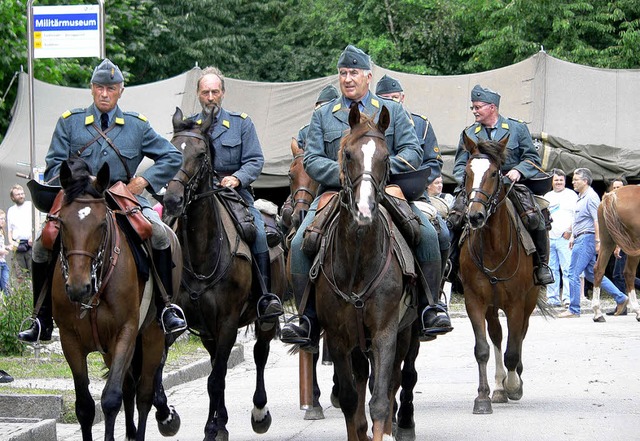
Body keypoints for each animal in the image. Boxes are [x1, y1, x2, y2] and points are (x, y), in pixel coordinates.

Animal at [49, 159, 180, 440]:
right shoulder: (69, 340)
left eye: (101, 224)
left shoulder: (125, 333)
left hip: (152, 336)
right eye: (62, 223)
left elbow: (111, 399)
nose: (78, 287)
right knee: (129, 387)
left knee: (143, 394)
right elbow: (85, 406)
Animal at [164, 106, 286, 440]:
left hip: (265, 318)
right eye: (171, 149)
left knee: (259, 353)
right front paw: (170, 417)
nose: (171, 200)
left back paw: (259, 413)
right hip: (208, 331)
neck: (202, 252)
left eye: (200, 154)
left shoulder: (228, 322)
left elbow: (216, 378)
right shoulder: (187, 321)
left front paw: (211, 427)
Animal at [312, 104, 418, 440]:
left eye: (385, 157)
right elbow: (349, 399)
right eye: (347, 154)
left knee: (397, 379)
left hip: (405, 333)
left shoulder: (385, 332)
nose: (364, 209)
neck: (358, 261)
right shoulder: (337, 337)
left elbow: (381, 399)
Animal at [458, 133, 552, 412]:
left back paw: (512, 380)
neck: (493, 247)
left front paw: (514, 385)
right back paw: (498, 387)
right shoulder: (475, 301)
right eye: (467, 172)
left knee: (519, 336)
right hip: (492, 306)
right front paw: (483, 397)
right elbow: (483, 348)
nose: (475, 216)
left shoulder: (517, 303)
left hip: (528, 302)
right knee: (498, 336)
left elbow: (513, 349)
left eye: (493, 173)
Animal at [592, 184, 640, 322]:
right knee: (629, 273)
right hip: (633, 245)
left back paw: (598, 313)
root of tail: (611, 195)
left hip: (607, 242)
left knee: (599, 270)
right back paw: (637, 311)